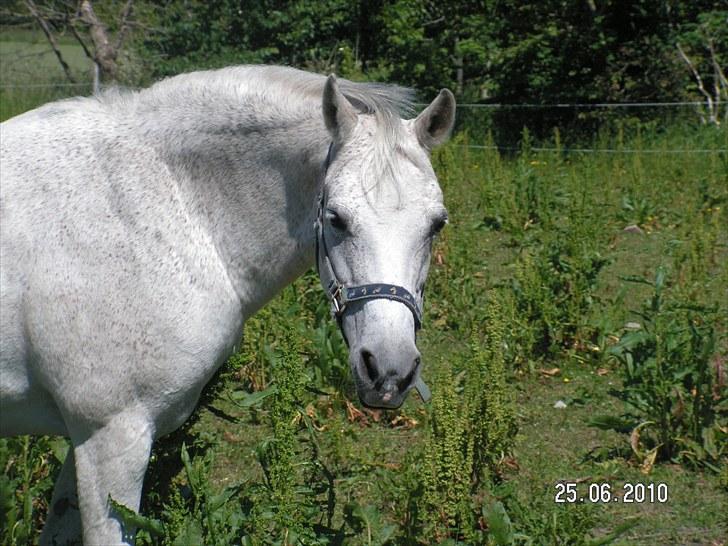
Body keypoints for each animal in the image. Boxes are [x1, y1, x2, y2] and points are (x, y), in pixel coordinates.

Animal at [0, 66, 452, 540]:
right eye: (336, 219)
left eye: (437, 223)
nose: (389, 371)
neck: (170, 205)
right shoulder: (111, 437)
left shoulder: (83, 442)